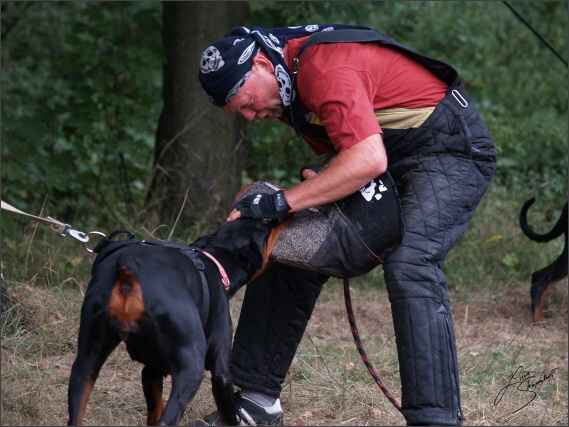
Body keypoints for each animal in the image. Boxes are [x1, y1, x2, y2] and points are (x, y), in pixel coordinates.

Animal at [67, 219, 288, 426]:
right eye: (267, 224)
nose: (286, 215)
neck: (217, 262)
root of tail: (129, 266)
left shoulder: (151, 371)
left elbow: (153, 412)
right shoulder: (222, 373)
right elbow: (229, 416)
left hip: (85, 363)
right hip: (192, 368)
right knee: (169, 419)